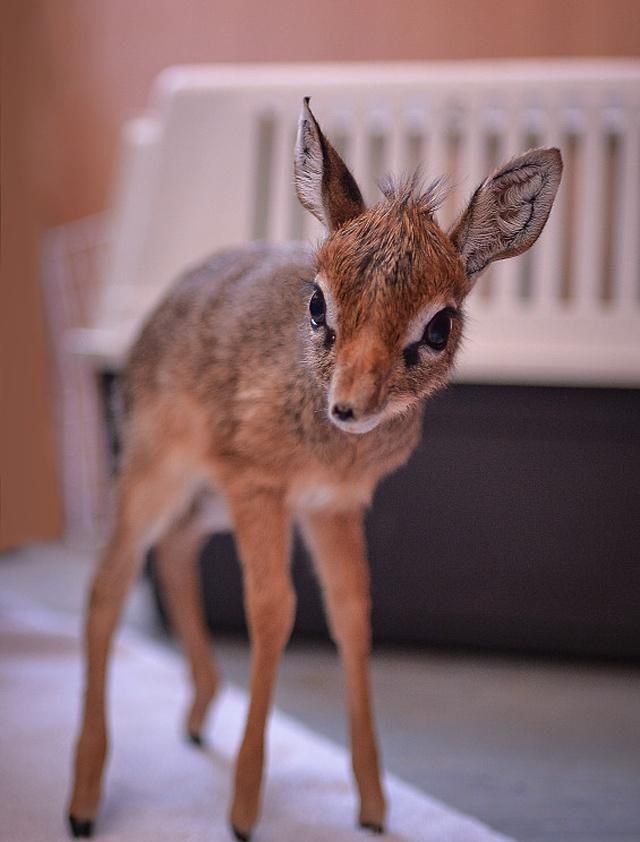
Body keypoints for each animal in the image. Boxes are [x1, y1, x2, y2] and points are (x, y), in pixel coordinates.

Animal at [67, 97, 564, 832]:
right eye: (316, 303)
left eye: (439, 326)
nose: (349, 406)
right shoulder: (259, 487)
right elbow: (273, 609)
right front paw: (244, 812)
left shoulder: (332, 506)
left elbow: (351, 614)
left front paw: (375, 808)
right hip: (156, 475)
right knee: (107, 584)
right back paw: (83, 802)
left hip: (207, 502)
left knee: (174, 551)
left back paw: (197, 718)